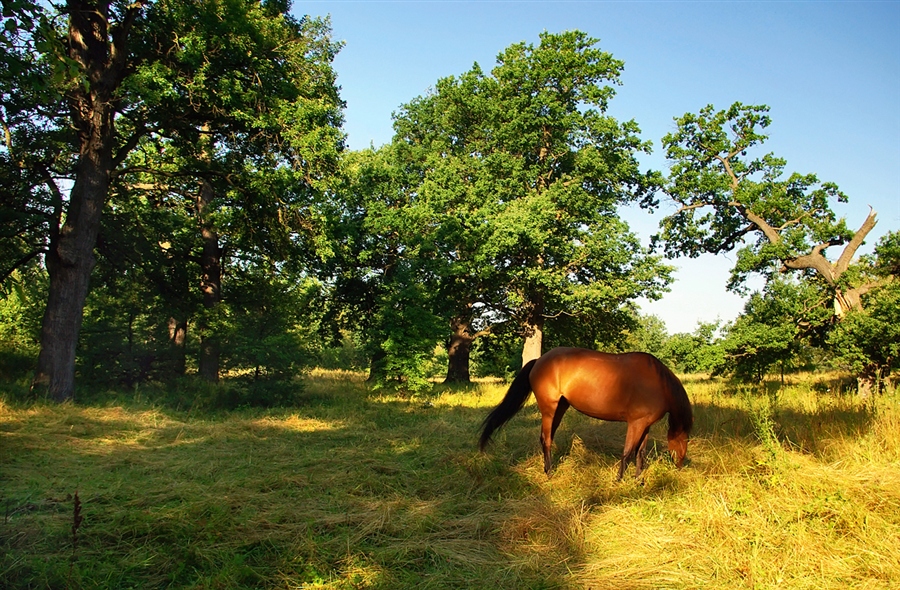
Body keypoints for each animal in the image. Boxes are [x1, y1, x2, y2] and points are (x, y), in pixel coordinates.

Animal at [478, 346, 696, 480]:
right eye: (684, 440)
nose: (680, 465)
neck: (659, 383)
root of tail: (539, 360)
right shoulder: (636, 423)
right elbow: (627, 452)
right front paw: (619, 480)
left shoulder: (645, 425)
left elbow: (640, 453)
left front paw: (639, 480)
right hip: (549, 408)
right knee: (546, 439)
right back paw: (549, 473)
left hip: (560, 408)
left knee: (546, 438)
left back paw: (547, 468)